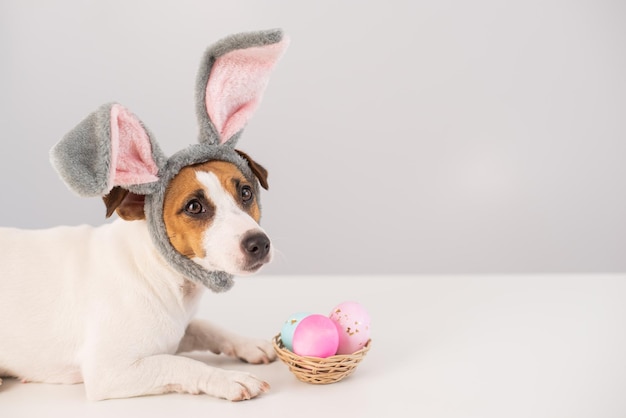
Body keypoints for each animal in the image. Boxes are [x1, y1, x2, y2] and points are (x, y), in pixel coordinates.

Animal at [0, 27, 288, 400]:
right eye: (194, 206)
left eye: (246, 192)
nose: (259, 244)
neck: (161, 273)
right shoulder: (111, 371)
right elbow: (181, 363)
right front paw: (228, 378)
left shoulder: (176, 330)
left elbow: (203, 326)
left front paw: (247, 344)